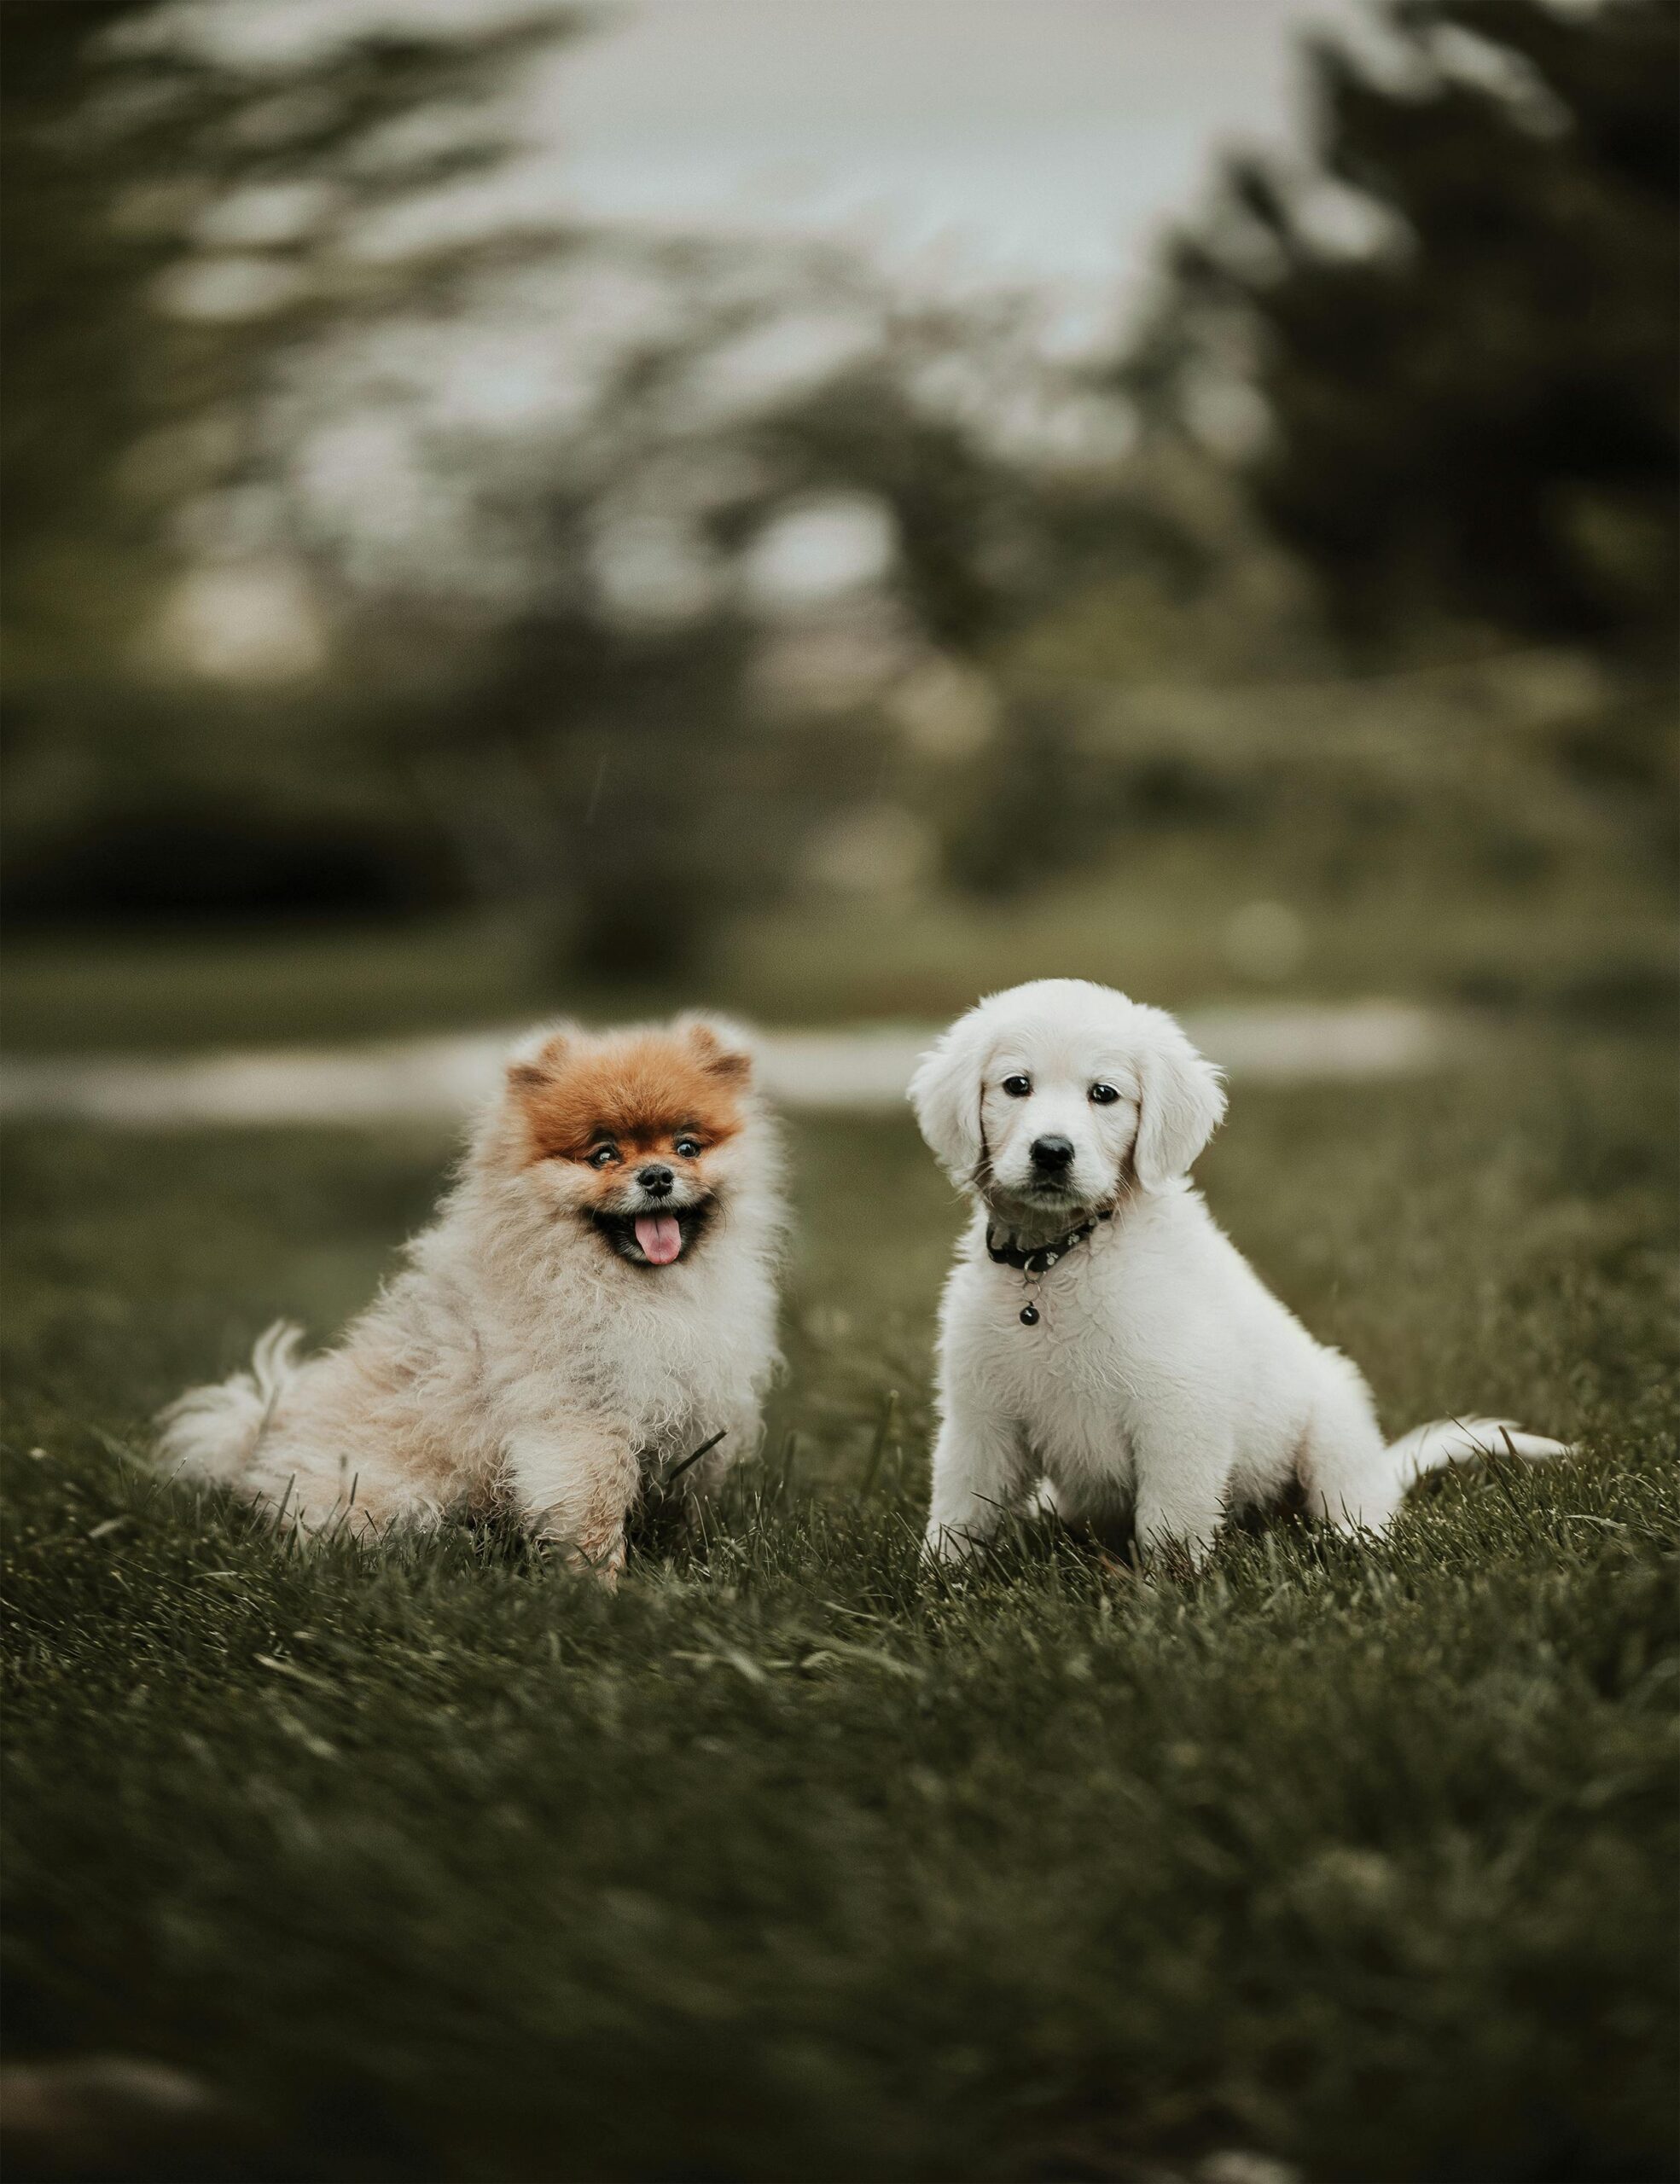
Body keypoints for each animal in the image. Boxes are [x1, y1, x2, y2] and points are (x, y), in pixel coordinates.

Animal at [157, 1013, 777, 1581]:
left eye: (687, 1147)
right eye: (604, 1155)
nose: (656, 1176)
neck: (632, 1287)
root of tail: (265, 1439)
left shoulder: (695, 1409)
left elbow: (686, 1496)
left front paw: (684, 1556)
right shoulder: (581, 1417)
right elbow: (594, 1505)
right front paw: (601, 1584)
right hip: (389, 1497)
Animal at [909, 983, 1564, 1563]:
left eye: (1104, 1094)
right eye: (1016, 1085)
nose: (1051, 1152)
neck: (1057, 1259)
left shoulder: (1179, 1409)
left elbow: (1169, 1525)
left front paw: (1167, 1598)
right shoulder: (979, 1420)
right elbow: (958, 1514)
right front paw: (939, 1588)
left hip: (1334, 1424)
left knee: (1354, 1502)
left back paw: (1358, 1544)